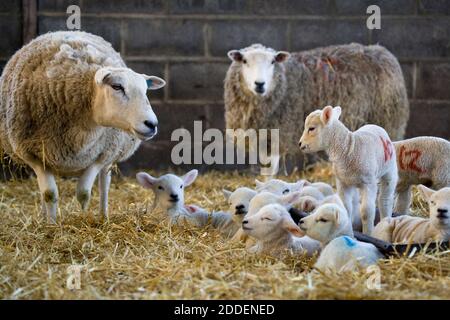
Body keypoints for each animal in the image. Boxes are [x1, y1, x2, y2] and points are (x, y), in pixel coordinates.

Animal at [0, 31, 165, 222]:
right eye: (117, 86)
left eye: (145, 91)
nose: (152, 124)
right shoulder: (32, 155)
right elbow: (49, 193)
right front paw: (51, 223)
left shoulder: (102, 154)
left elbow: (84, 193)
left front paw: (84, 216)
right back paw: (43, 216)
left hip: (111, 153)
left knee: (104, 183)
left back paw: (103, 215)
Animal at [224, 43, 408, 171]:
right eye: (244, 61)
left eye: (272, 61)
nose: (259, 84)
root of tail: (382, 51)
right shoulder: (264, 136)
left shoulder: (281, 133)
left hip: (389, 119)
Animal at [298, 106, 398, 234]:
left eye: (311, 128)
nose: (300, 144)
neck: (349, 148)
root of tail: (375, 126)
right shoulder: (343, 182)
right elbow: (345, 208)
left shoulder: (369, 183)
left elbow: (367, 212)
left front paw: (368, 233)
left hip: (389, 170)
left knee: (385, 199)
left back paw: (385, 218)